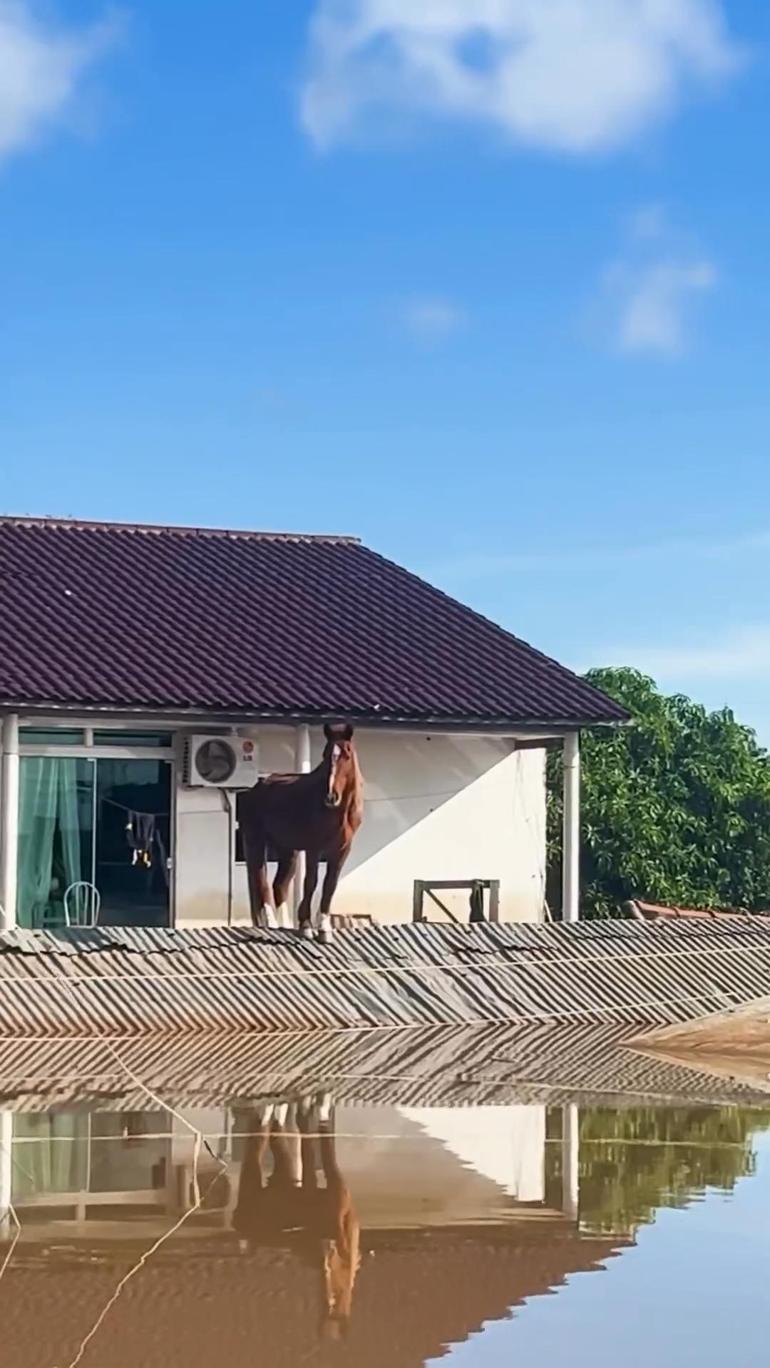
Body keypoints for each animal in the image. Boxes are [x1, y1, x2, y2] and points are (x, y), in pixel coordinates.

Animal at [237, 727, 363, 941]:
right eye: (325, 754)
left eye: (346, 754)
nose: (331, 797)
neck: (340, 811)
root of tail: (256, 788)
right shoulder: (315, 848)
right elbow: (310, 882)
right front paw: (306, 926)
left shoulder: (342, 850)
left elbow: (330, 885)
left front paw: (324, 929)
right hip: (256, 841)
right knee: (261, 880)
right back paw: (271, 924)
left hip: (288, 849)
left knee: (279, 886)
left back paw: (285, 925)